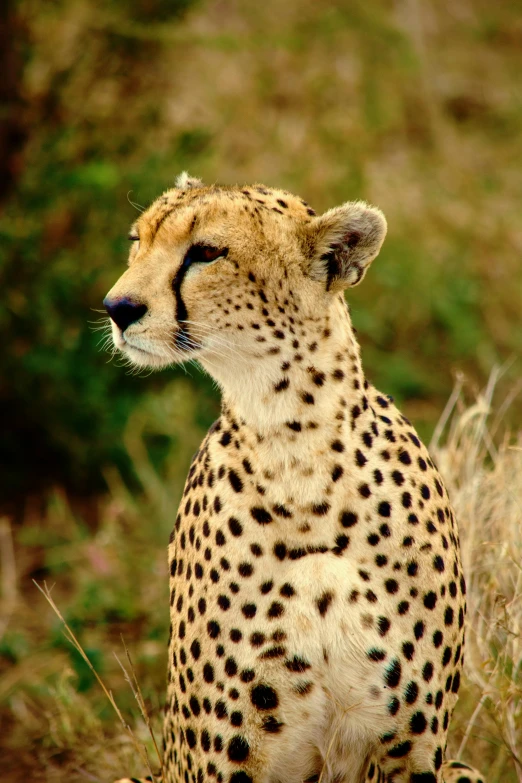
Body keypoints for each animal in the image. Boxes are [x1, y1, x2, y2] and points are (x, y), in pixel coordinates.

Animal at [102, 173, 484, 783]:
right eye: (138, 241)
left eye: (206, 253)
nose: (117, 307)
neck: (295, 447)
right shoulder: (221, 761)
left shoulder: (412, 750)